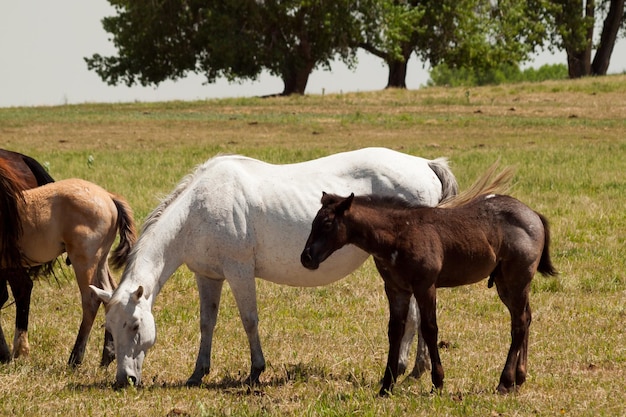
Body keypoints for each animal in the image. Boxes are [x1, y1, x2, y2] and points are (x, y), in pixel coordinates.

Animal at [90, 147, 456, 386]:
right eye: (110, 329)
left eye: (135, 326)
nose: (124, 380)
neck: (199, 208)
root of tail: (426, 164)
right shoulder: (207, 276)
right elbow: (207, 324)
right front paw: (198, 373)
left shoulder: (239, 272)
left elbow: (249, 321)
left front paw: (256, 371)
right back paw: (414, 368)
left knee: (416, 317)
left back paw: (414, 368)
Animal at [302, 164, 556, 394]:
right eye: (312, 223)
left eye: (327, 224)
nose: (306, 258)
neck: (399, 233)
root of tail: (533, 214)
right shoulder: (396, 289)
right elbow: (395, 330)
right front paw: (386, 386)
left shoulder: (425, 286)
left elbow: (429, 328)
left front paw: (438, 383)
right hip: (504, 283)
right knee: (524, 317)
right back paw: (519, 379)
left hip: (517, 278)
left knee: (519, 323)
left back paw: (505, 382)